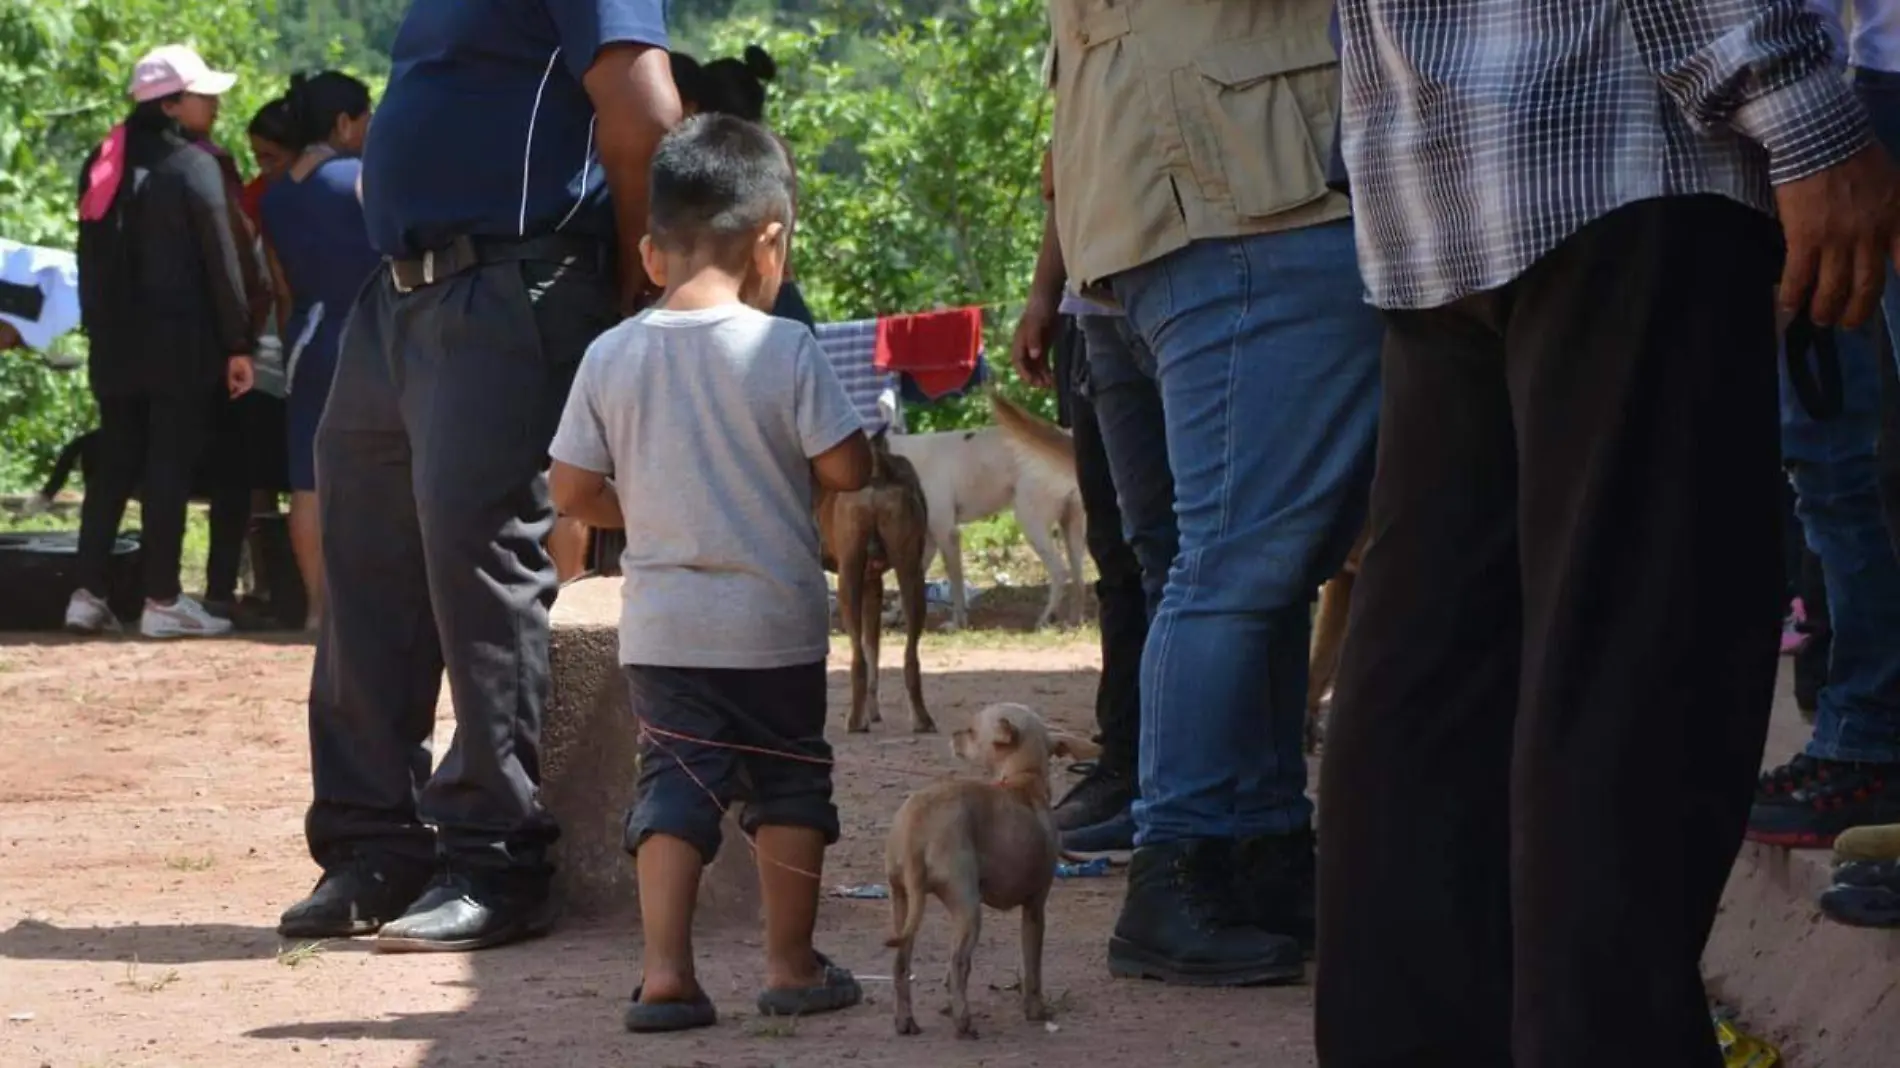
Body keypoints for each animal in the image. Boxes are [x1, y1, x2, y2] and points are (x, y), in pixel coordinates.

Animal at [877, 699, 1102, 1033]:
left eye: (970, 732)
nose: (954, 734)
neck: (1023, 778)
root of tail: (917, 828)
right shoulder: (1035, 908)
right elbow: (1032, 968)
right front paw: (1036, 1010)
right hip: (968, 908)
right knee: (957, 961)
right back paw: (963, 1022)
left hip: (903, 901)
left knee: (902, 962)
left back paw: (906, 1020)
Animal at [889, 389, 1086, 623]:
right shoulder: (929, 540)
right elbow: (909, 584)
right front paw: (896, 614)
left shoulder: (946, 534)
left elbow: (956, 583)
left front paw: (958, 622)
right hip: (1072, 528)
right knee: (1078, 579)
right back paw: (1074, 621)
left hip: (1031, 523)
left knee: (1060, 573)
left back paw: (1046, 618)